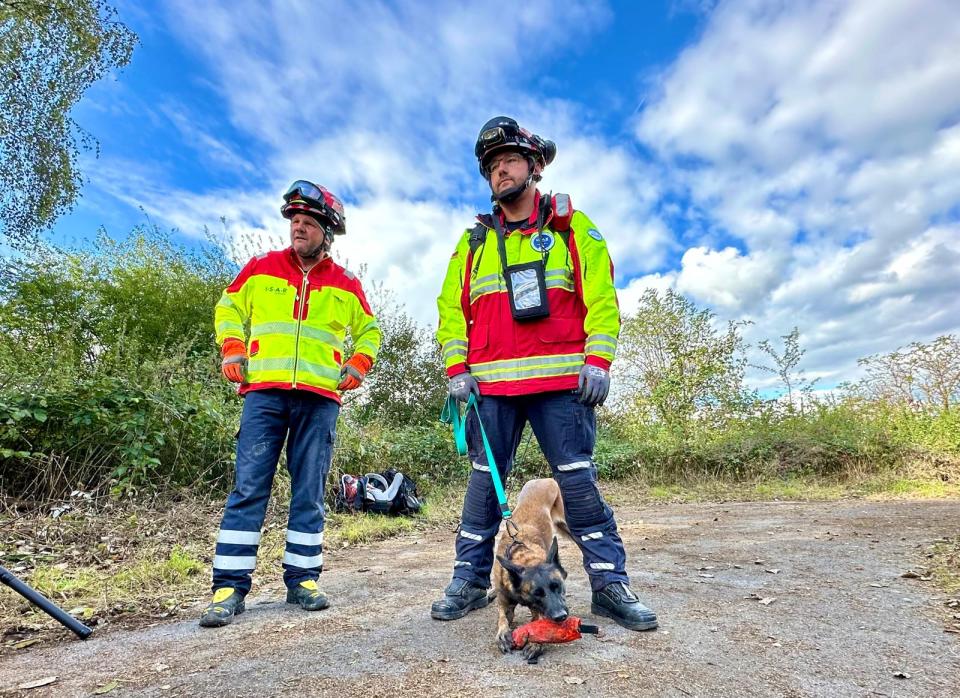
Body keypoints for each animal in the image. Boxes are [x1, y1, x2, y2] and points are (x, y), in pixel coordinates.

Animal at [496, 476, 568, 660]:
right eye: (537, 593)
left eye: (558, 586)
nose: (561, 617)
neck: (526, 557)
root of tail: (546, 479)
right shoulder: (505, 601)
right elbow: (502, 617)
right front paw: (503, 633)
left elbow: (538, 622)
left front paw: (536, 643)